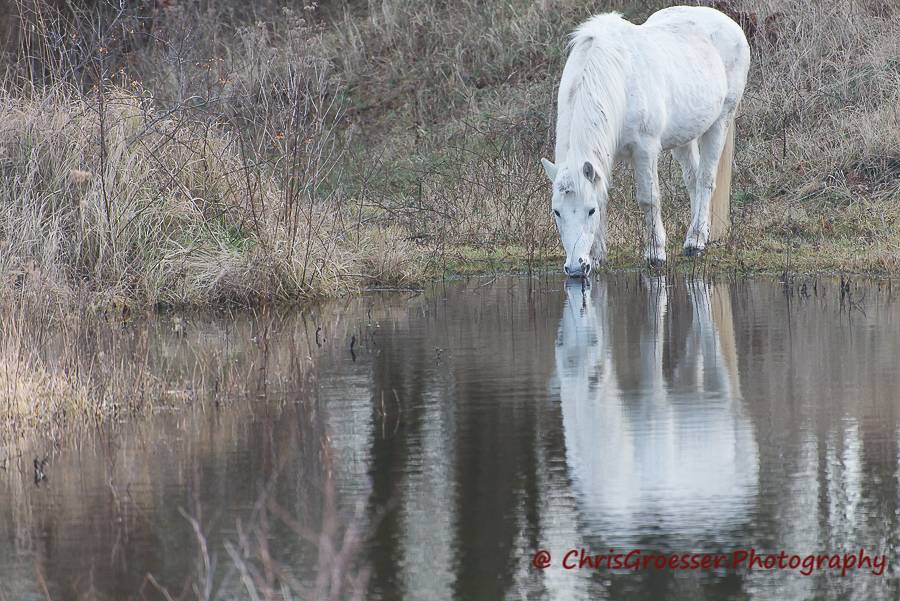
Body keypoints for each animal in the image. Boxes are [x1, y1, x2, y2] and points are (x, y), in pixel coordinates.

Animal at [540, 7, 752, 274]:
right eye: (557, 212)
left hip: (720, 122)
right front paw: (597, 256)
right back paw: (698, 235)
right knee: (693, 180)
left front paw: (655, 253)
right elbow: (603, 195)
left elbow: (648, 199)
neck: (616, 77)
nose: (576, 268)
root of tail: (729, 23)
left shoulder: (645, 150)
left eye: (590, 211)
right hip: (684, 137)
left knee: (706, 180)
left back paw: (695, 242)